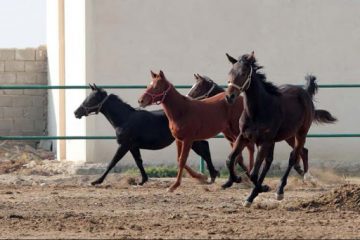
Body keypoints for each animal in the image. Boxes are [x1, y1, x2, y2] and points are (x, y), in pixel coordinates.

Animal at [75, 84, 219, 186]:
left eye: (91, 99)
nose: (76, 112)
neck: (125, 119)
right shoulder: (133, 146)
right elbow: (138, 161)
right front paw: (142, 180)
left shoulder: (124, 145)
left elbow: (112, 162)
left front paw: (96, 181)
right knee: (205, 148)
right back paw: (211, 175)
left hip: (190, 140)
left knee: (204, 150)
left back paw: (212, 175)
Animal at [225, 52, 338, 206]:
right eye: (230, 72)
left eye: (243, 73)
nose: (229, 96)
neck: (257, 111)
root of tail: (305, 93)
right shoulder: (244, 136)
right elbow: (230, 160)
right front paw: (237, 180)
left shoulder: (264, 141)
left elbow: (254, 172)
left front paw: (263, 188)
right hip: (288, 135)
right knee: (300, 152)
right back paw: (306, 177)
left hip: (300, 133)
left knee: (293, 156)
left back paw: (280, 190)